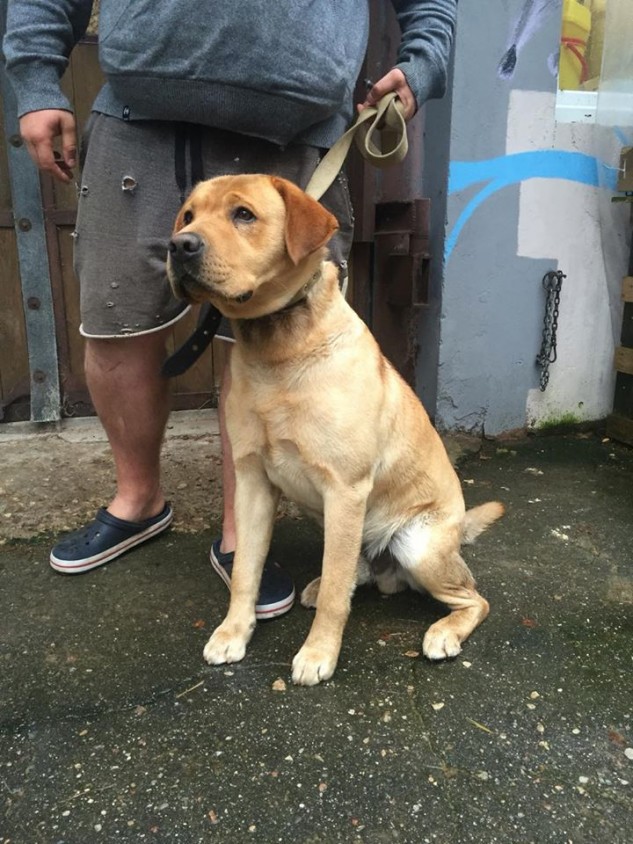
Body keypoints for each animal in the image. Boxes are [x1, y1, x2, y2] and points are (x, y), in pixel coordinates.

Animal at [167, 174, 504, 686]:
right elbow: (245, 571)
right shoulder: (252, 482)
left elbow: (334, 599)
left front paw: (318, 652)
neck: (277, 353)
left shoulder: (345, 487)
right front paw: (233, 633)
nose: (179, 246)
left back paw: (443, 632)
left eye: (243, 214)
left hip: (418, 545)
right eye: (188, 216)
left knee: (473, 598)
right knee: (353, 571)